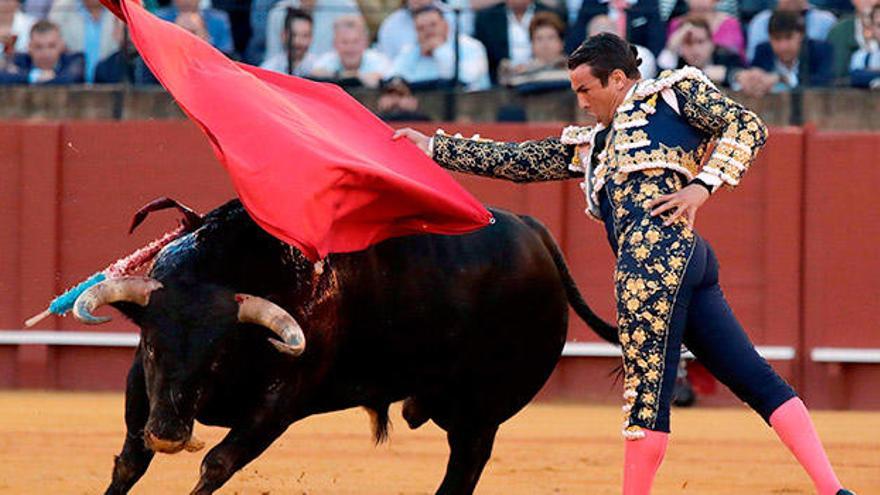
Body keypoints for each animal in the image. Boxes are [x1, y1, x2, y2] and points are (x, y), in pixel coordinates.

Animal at [75, 199, 616, 495]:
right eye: (151, 348)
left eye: (218, 356)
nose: (167, 434)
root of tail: (533, 230)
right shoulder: (142, 388)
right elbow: (129, 462)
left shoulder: (279, 403)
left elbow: (217, 463)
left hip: (482, 409)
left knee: (466, 464)